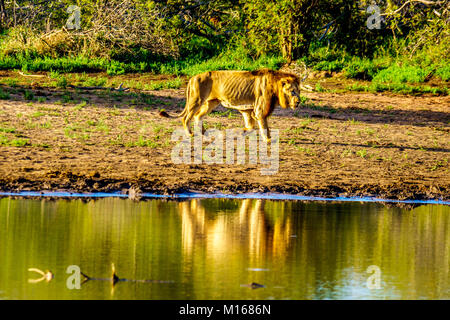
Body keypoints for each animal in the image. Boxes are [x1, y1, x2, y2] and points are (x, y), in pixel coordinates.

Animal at [160, 69, 300, 141]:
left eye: (299, 91)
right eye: (292, 91)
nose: (298, 102)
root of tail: (193, 77)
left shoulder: (247, 109)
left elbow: (250, 125)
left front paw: (242, 132)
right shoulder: (260, 110)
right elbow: (264, 126)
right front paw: (268, 140)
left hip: (211, 103)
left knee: (198, 116)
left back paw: (204, 133)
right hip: (196, 100)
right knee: (186, 118)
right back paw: (190, 134)